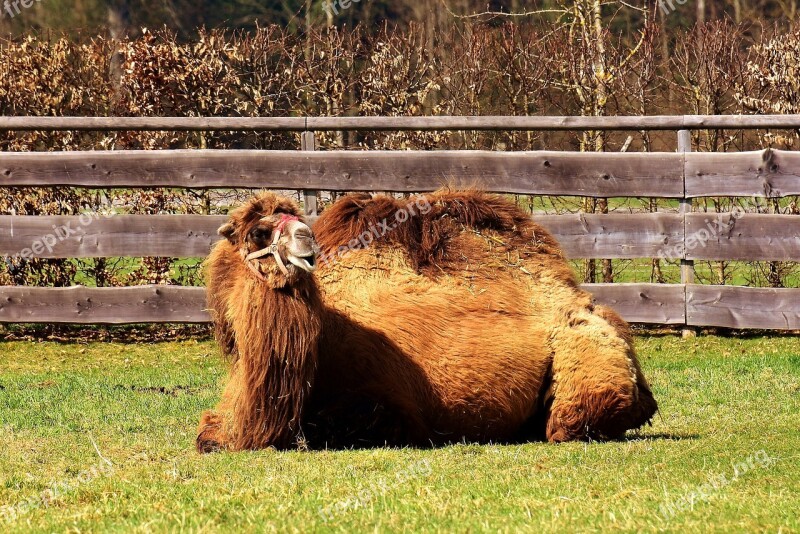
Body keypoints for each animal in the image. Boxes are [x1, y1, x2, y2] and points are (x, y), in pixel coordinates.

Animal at [198, 192, 656, 452]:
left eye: (297, 221)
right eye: (257, 232)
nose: (304, 240)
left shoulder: (380, 405)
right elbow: (208, 433)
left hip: (584, 354)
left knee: (574, 418)